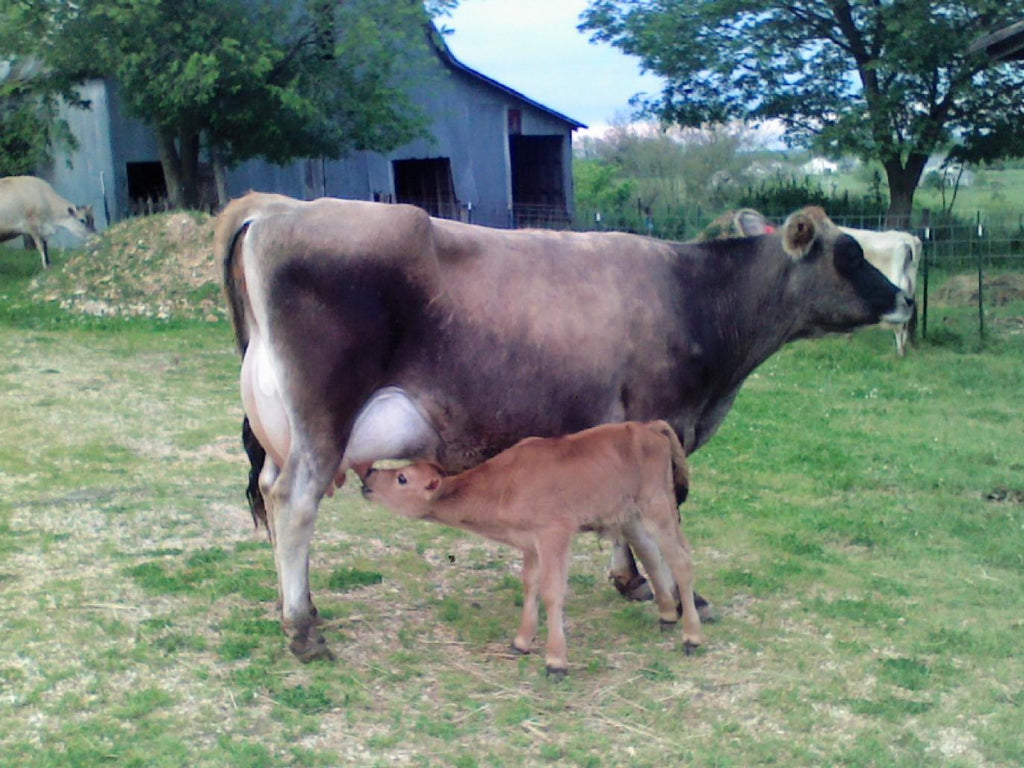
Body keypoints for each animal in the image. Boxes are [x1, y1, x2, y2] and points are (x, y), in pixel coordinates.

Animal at [360, 421, 704, 679]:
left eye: (402, 478)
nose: (369, 477)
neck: (505, 484)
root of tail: (648, 426)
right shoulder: (530, 543)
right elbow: (530, 585)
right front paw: (522, 641)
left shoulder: (554, 533)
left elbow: (552, 592)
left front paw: (555, 661)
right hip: (632, 514)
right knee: (653, 555)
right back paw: (667, 616)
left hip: (657, 506)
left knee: (681, 560)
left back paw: (692, 636)